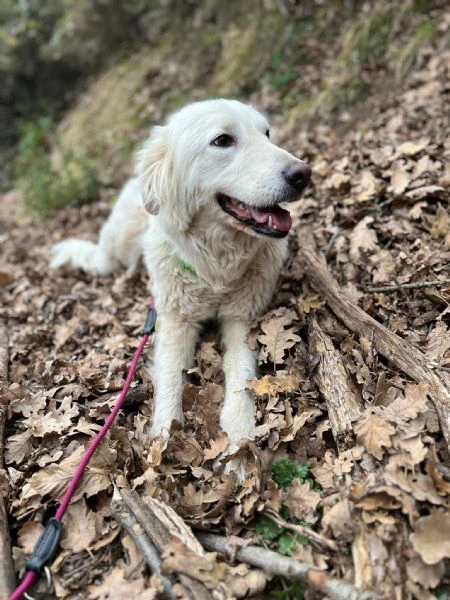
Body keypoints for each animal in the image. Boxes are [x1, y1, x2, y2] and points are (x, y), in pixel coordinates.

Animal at [50, 101, 310, 468]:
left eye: (267, 133)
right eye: (222, 140)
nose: (303, 173)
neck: (215, 268)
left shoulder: (240, 318)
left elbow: (240, 372)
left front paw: (239, 441)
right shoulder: (175, 321)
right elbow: (171, 376)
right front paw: (164, 435)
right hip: (115, 250)